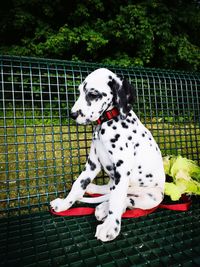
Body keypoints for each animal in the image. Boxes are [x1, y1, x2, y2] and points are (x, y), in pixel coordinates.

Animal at [50, 68, 166, 243]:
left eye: (92, 94)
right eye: (79, 92)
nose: (73, 114)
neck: (106, 122)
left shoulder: (122, 172)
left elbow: (116, 201)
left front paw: (111, 227)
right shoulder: (92, 165)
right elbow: (78, 185)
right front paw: (64, 204)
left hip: (149, 197)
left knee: (124, 199)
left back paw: (104, 208)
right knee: (107, 191)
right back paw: (94, 191)